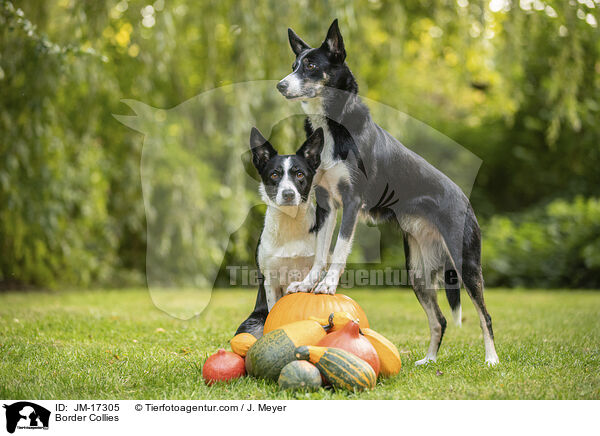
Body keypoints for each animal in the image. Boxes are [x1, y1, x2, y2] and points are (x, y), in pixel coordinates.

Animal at [234, 126, 324, 338]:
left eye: (299, 174)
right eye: (274, 175)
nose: (288, 194)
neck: (290, 223)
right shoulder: (271, 281)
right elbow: (273, 310)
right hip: (252, 322)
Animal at [276, 19, 496, 364]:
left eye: (311, 66)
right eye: (294, 65)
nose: (280, 86)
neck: (332, 126)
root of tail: (464, 199)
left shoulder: (351, 202)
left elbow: (339, 249)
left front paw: (327, 286)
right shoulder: (326, 204)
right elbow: (321, 251)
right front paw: (310, 282)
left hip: (466, 262)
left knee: (484, 315)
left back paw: (491, 360)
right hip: (417, 272)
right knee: (440, 319)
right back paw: (429, 361)